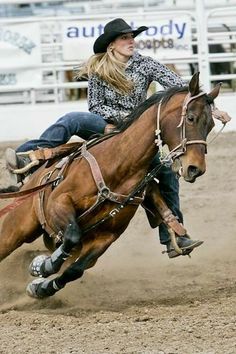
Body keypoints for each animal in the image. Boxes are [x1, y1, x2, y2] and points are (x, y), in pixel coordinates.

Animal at [0, 74, 219, 298]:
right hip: (15, 228)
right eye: (190, 118)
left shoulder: (105, 238)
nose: (196, 168)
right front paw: (42, 266)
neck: (117, 166)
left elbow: (73, 270)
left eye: (210, 124)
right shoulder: (58, 202)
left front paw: (40, 285)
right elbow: (72, 235)